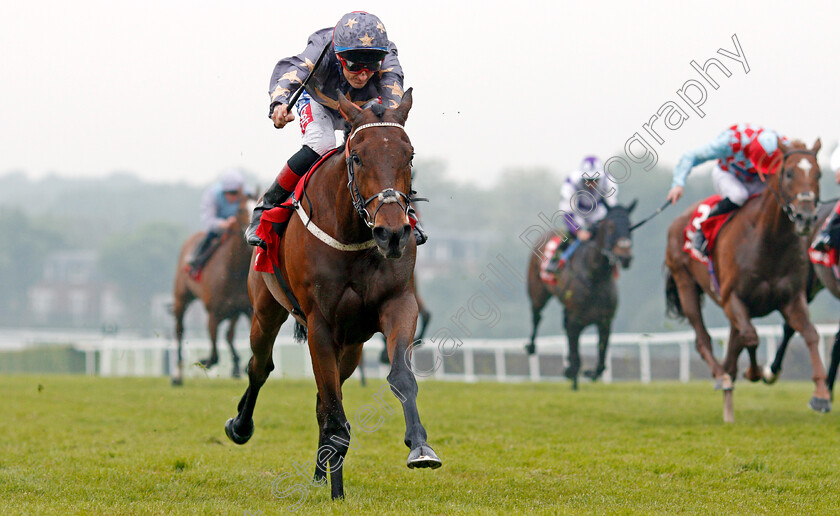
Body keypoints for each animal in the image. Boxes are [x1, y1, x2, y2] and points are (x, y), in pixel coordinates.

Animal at [171, 192, 256, 382]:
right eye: (241, 209)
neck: (234, 270)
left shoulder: (246, 309)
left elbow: (233, 337)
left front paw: (239, 367)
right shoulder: (213, 314)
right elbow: (215, 354)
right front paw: (205, 361)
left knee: (229, 335)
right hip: (181, 298)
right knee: (179, 331)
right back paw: (177, 375)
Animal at [225, 89, 446, 500]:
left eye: (409, 155)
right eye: (356, 156)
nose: (393, 233)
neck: (355, 235)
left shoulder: (398, 304)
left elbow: (400, 377)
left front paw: (420, 447)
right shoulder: (319, 324)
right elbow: (332, 406)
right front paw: (336, 486)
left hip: (353, 344)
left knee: (322, 398)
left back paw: (320, 471)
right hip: (265, 311)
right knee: (260, 367)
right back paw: (242, 426)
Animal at [524, 202, 636, 392]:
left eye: (630, 226)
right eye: (611, 226)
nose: (625, 257)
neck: (595, 277)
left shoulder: (605, 322)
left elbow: (601, 362)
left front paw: (589, 373)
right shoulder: (575, 321)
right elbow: (577, 357)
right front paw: (573, 377)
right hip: (538, 292)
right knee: (536, 316)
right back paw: (531, 346)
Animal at [668, 137, 832, 420]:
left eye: (818, 174)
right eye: (789, 173)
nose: (806, 217)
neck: (769, 241)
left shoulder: (792, 299)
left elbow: (810, 334)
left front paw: (821, 395)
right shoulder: (732, 298)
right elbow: (752, 337)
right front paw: (754, 372)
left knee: (733, 343)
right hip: (685, 284)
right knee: (703, 339)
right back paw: (721, 376)